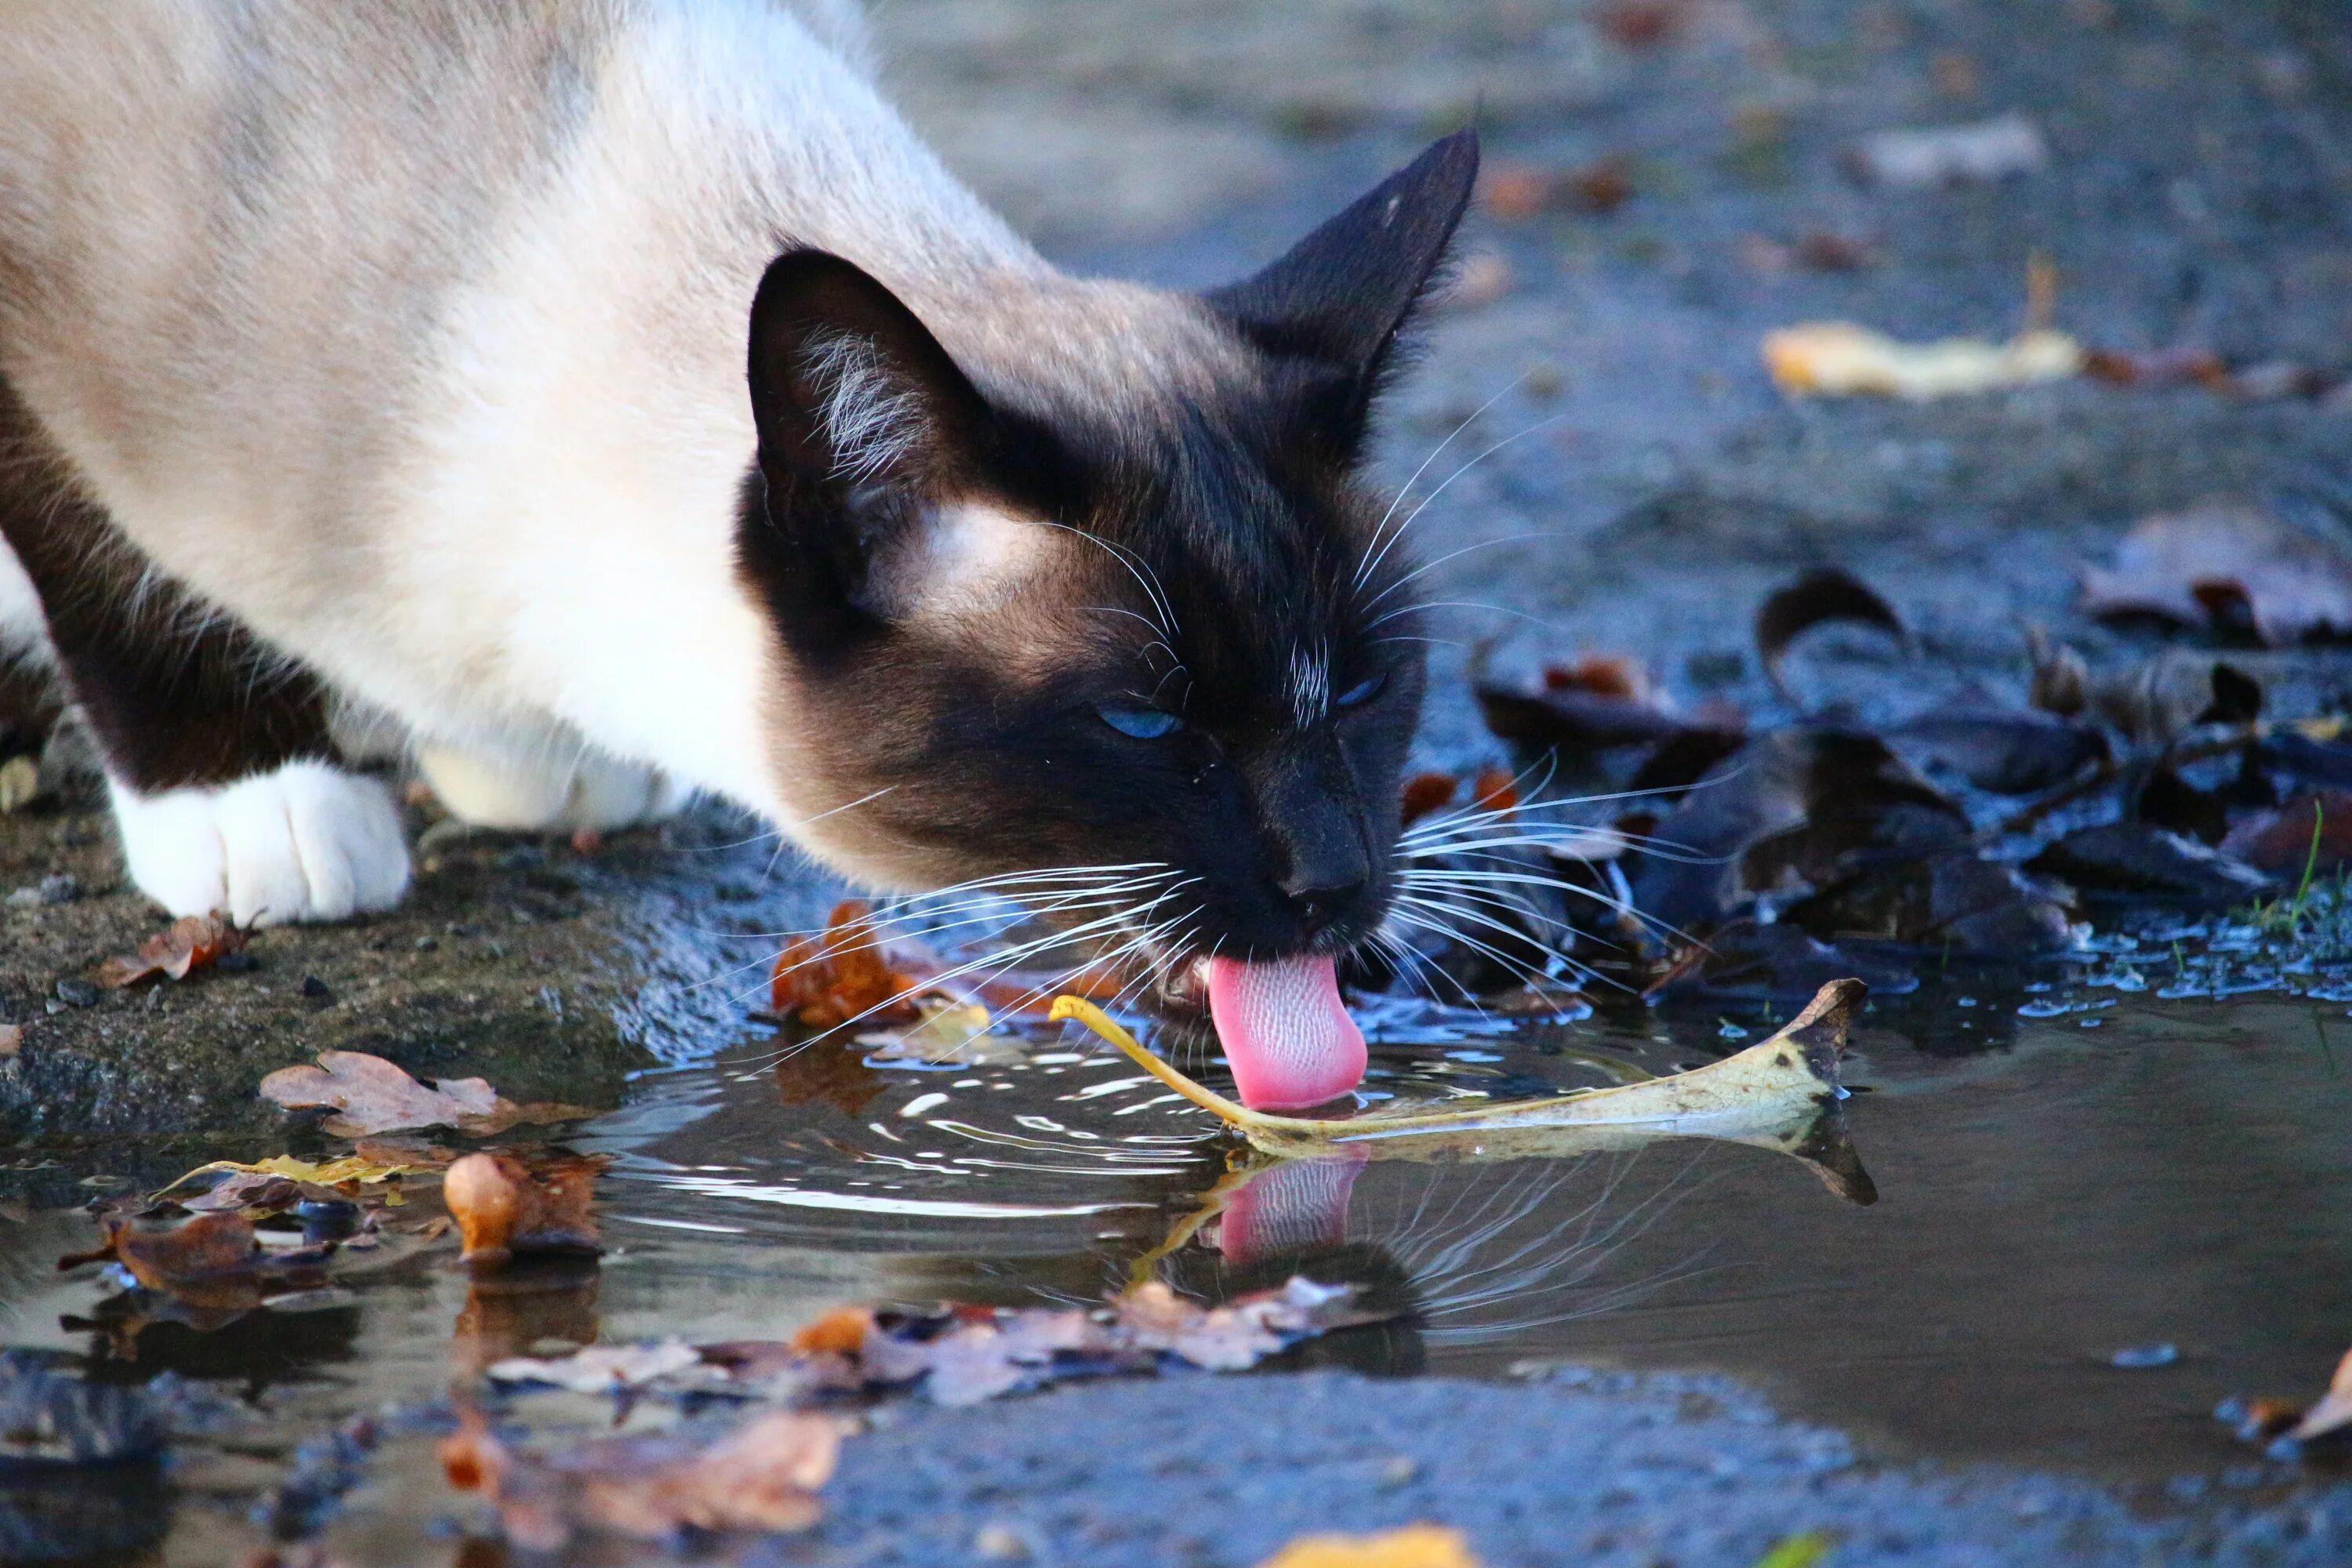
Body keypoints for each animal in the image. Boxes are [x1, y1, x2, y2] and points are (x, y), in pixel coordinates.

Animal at [0, 0, 1468, 1109]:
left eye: (1361, 689)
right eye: (1143, 724)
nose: (1337, 884)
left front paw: (527, 766)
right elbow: (105, 562)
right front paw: (251, 805)